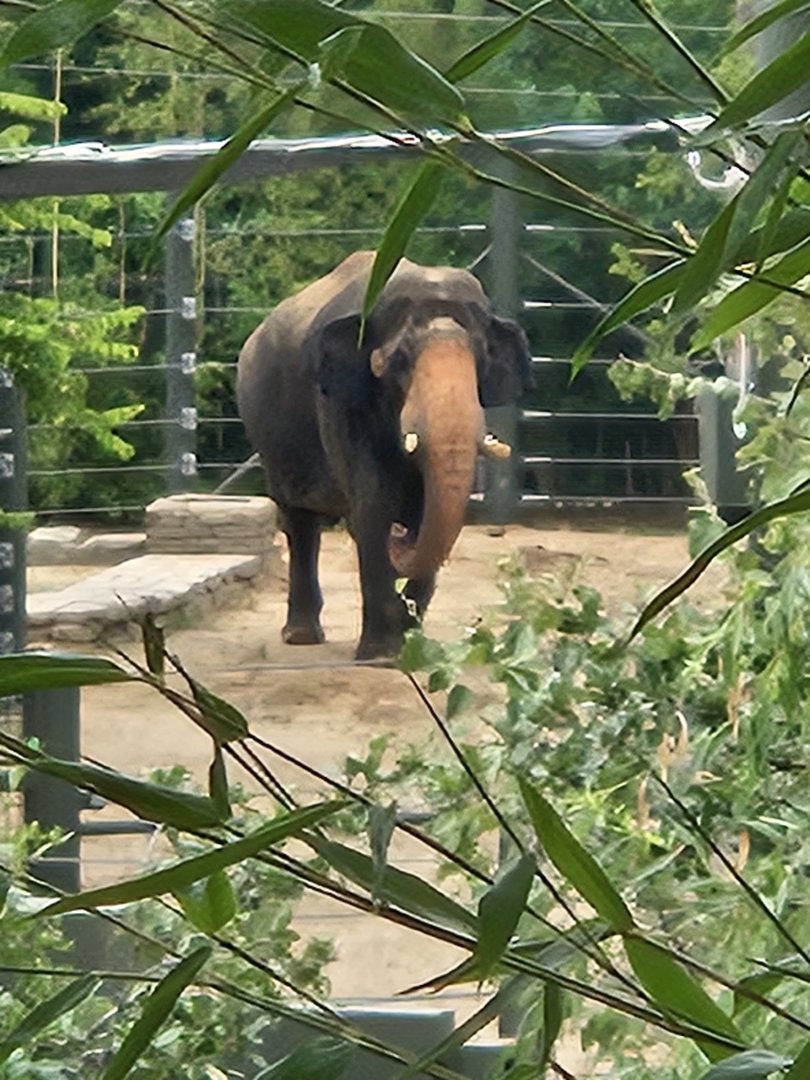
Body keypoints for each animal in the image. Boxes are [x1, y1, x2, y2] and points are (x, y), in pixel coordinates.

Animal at [237, 250, 532, 660]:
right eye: (400, 361)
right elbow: (373, 503)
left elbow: (432, 513)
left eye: (480, 360)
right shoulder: (342, 400)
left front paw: (411, 647)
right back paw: (301, 636)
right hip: (268, 436)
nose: (401, 534)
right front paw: (380, 655)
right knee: (299, 522)